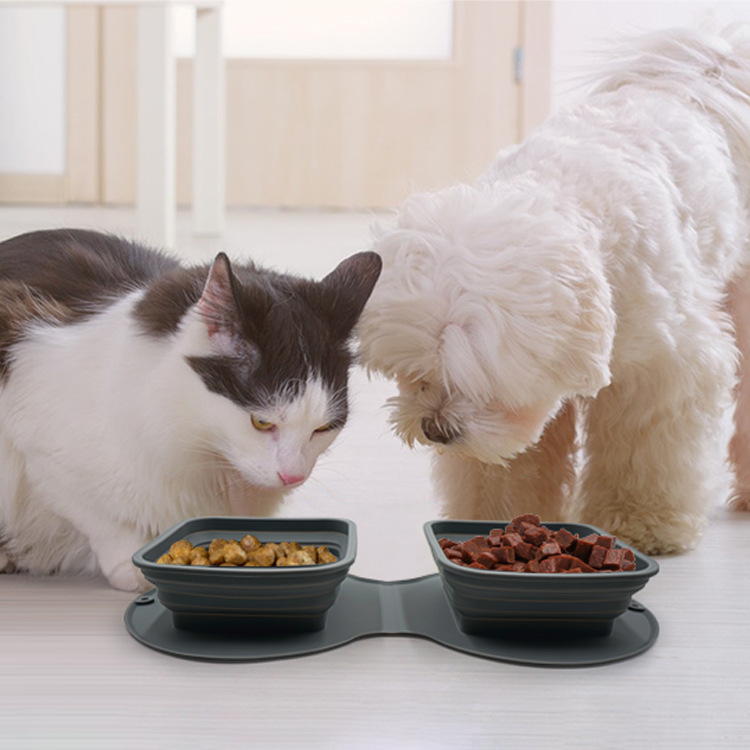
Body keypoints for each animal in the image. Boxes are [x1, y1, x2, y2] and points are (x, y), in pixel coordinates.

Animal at [0, 226, 382, 592]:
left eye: (323, 428)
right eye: (261, 422)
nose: (294, 476)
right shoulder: (39, 444)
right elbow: (104, 519)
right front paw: (132, 567)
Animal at [356, 26, 750, 556]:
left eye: (483, 389)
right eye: (416, 375)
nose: (436, 428)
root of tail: (706, 72)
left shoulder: (660, 373)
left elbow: (642, 453)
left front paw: (642, 523)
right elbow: (511, 464)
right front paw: (492, 521)